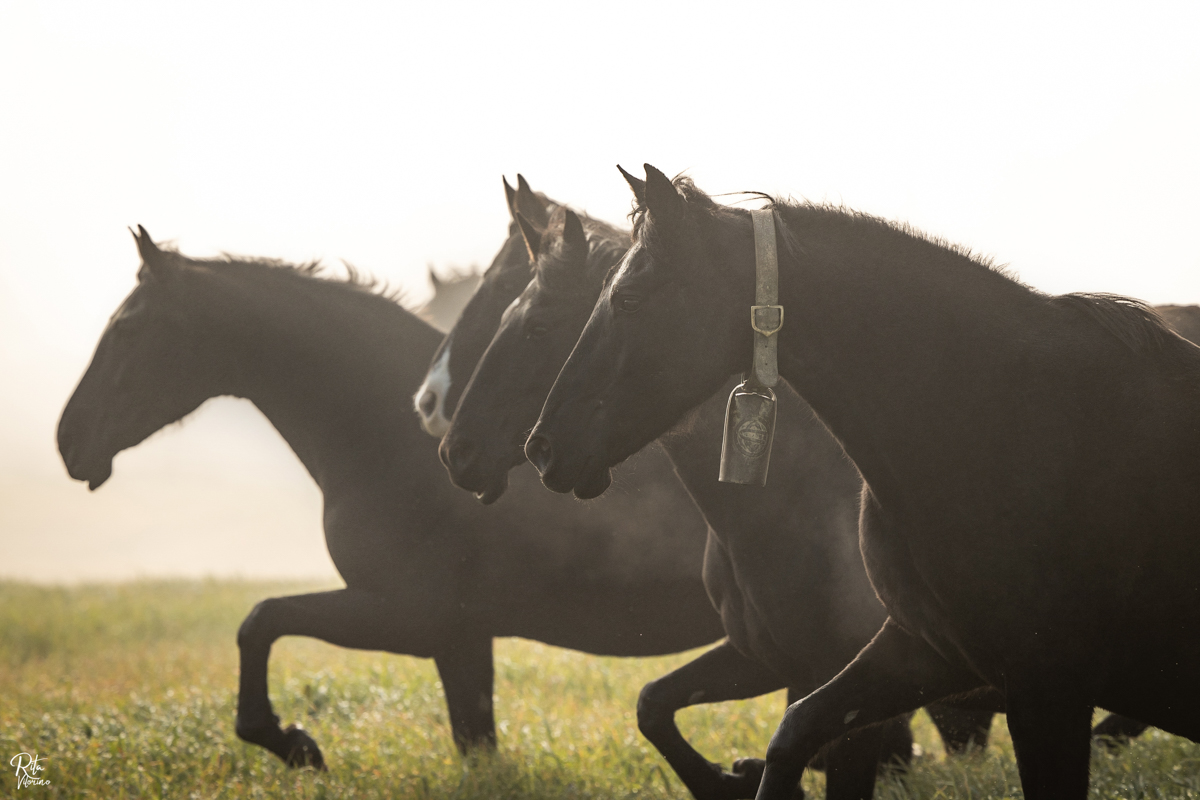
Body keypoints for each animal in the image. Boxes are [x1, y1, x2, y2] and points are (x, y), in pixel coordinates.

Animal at [56, 224, 720, 767]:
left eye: (129, 326)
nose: (69, 439)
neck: (393, 444)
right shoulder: (461, 641)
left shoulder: (414, 619)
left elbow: (261, 620)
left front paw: (294, 744)